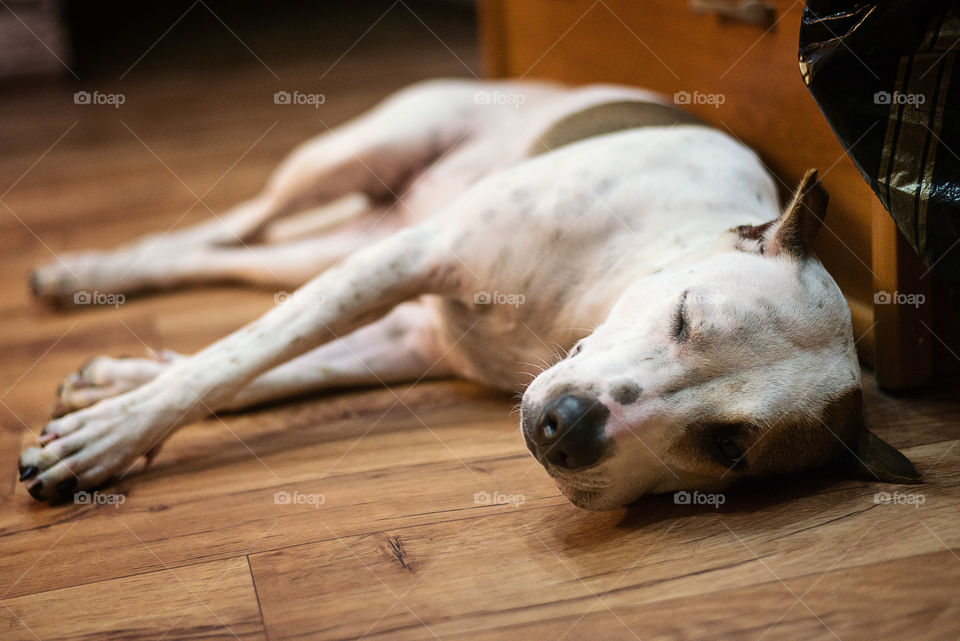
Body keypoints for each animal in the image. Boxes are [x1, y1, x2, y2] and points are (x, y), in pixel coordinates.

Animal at [20, 81, 924, 510]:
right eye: (685, 315)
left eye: (730, 448)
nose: (569, 429)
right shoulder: (412, 256)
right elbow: (234, 357)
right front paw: (103, 439)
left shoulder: (408, 332)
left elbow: (257, 370)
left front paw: (113, 392)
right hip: (356, 155)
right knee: (243, 223)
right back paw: (90, 269)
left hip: (348, 238)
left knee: (245, 259)